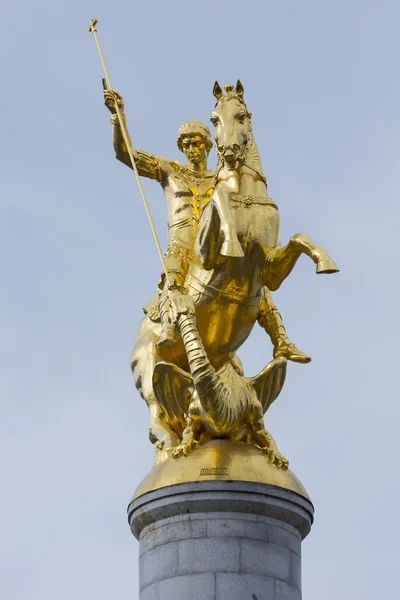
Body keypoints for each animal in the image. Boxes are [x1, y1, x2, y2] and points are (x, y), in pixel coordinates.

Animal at [131, 82, 338, 452]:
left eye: (243, 114)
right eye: (215, 118)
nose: (228, 153)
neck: (245, 193)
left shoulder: (269, 269)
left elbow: (299, 239)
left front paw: (326, 263)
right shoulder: (207, 255)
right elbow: (220, 200)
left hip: (228, 363)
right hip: (149, 364)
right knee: (158, 407)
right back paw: (170, 443)